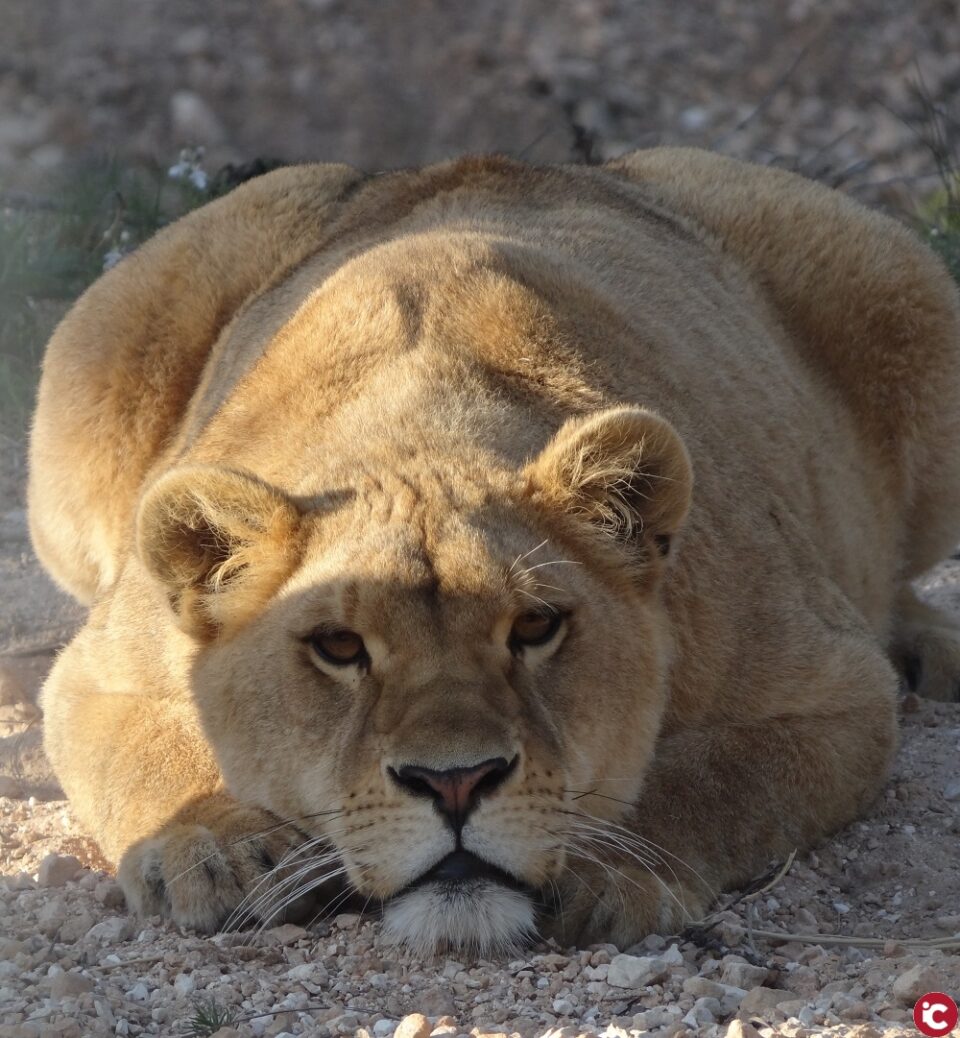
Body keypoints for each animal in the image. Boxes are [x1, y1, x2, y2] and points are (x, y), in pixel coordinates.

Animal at [27, 149, 960, 954]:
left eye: (537, 628)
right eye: (339, 647)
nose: (455, 783)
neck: (423, 426)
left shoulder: (834, 691)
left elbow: (709, 777)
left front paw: (606, 866)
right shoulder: (99, 672)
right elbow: (150, 755)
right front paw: (214, 848)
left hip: (906, 297)